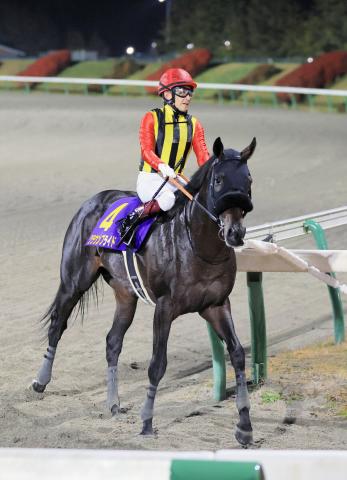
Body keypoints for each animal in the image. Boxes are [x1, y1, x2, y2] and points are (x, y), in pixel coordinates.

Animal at [32, 135, 256, 446]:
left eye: (248, 179)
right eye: (219, 179)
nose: (235, 233)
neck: (197, 245)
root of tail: (92, 201)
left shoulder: (217, 304)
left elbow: (237, 354)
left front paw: (245, 425)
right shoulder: (165, 307)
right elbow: (157, 364)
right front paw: (147, 421)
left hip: (126, 295)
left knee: (112, 341)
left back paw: (113, 403)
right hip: (74, 281)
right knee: (57, 325)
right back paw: (40, 381)